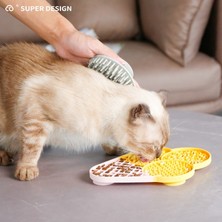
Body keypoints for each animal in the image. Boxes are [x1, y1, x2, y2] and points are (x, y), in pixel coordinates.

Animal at [0, 43, 170, 180]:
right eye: (154, 147)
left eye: (163, 146)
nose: (158, 156)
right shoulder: (36, 114)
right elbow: (31, 148)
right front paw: (27, 169)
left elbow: (108, 142)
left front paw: (115, 150)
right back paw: (5, 157)